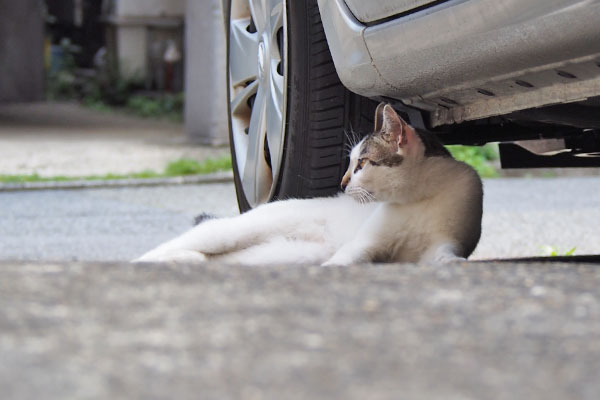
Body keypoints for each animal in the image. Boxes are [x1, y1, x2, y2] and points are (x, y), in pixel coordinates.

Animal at [136, 103, 482, 266]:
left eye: (361, 164)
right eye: (351, 163)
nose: (342, 182)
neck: (420, 196)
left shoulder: (443, 243)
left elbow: (446, 257)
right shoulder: (365, 244)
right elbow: (343, 261)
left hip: (281, 255)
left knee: (218, 260)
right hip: (233, 232)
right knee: (182, 242)